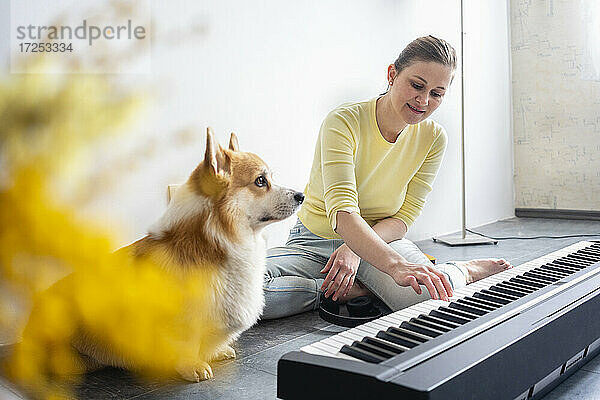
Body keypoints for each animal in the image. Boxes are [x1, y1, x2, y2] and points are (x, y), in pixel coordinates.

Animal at [18, 129, 304, 384]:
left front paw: (217, 351)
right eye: (260, 181)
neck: (215, 242)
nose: (301, 195)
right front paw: (192, 366)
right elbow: (185, 342)